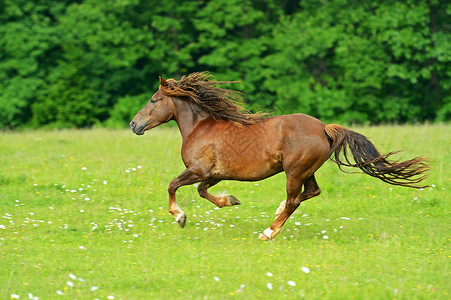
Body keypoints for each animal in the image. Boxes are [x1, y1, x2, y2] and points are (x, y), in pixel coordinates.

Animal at [131, 71, 430, 240]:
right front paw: (230, 200)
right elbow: (204, 192)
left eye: (154, 100)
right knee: (309, 193)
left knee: (295, 200)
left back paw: (269, 232)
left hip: (294, 171)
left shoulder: (198, 170)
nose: (134, 125)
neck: (200, 127)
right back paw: (276, 213)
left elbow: (173, 186)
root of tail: (324, 128)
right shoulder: (213, 175)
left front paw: (179, 217)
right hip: (306, 171)